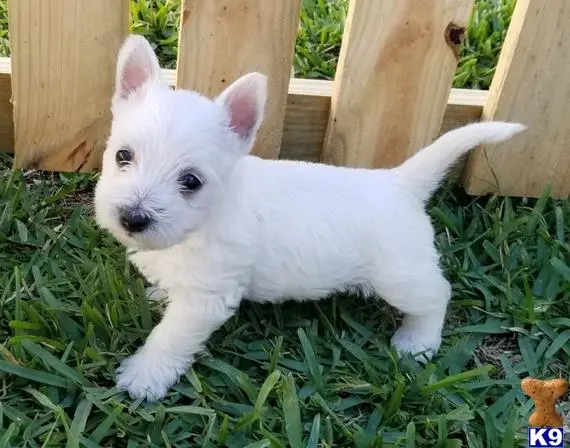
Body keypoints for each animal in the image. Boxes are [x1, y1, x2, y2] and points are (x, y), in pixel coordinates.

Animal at [93, 34, 524, 400]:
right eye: (123, 156)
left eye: (191, 181)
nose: (133, 217)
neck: (206, 218)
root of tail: (400, 182)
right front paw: (160, 294)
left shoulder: (206, 299)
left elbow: (168, 337)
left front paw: (144, 376)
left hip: (401, 277)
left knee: (437, 295)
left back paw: (417, 342)